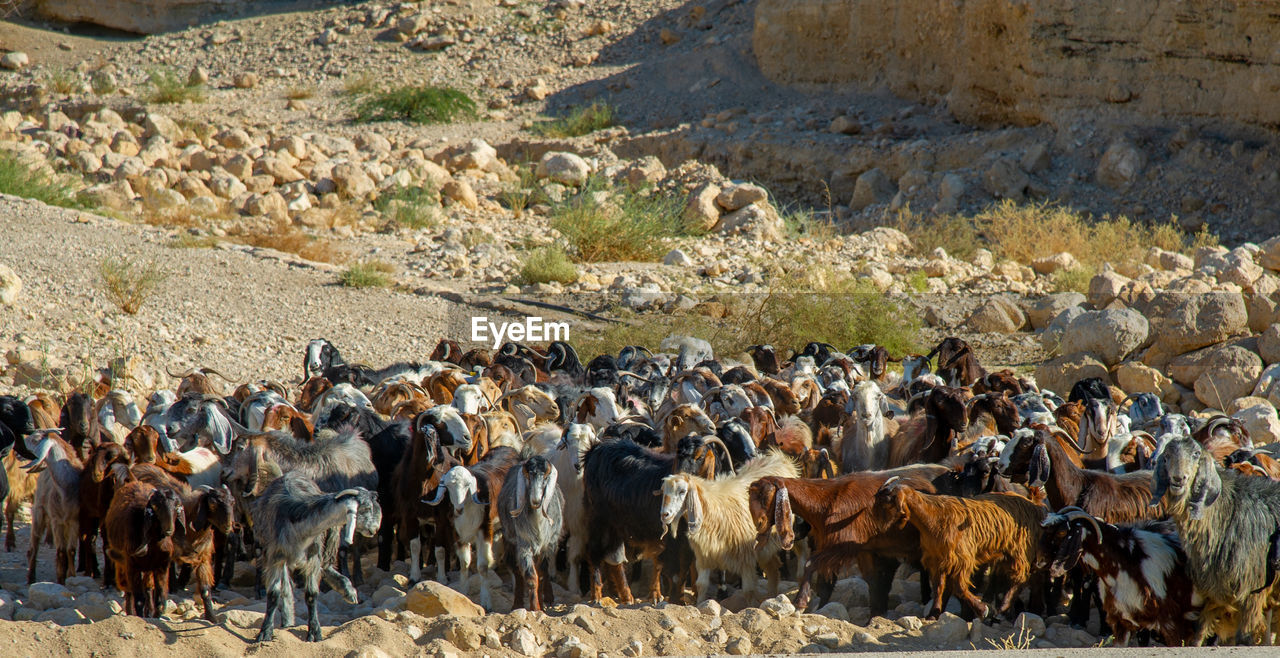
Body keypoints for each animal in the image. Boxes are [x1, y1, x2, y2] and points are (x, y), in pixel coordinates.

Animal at [250, 471, 378, 640]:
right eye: (367, 507)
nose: (374, 529)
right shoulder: (275, 557)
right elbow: (274, 594)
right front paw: (265, 632)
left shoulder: (313, 558)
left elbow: (311, 595)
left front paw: (315, 632)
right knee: (286, 587)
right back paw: (287, 621)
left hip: (331, 536)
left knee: (327, 565)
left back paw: (347, 589)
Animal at [496, 450, 563, 609]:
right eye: (528, 475)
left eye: (545, 477)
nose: (536, 500)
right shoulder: (524, 545)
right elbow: (531, 577)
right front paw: (535, 608)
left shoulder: (546, 546)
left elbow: (542, 574)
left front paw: (542, 605)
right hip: (510, 541)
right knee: (515, 569)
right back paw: (517, 604)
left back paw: (548, 597)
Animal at [660, 450, 798, 599]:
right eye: (664, 492)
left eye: (682, 491)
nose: (664, 514)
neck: (712, 509)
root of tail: (781, 459)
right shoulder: (704, 555)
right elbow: (701, 585)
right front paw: (700, 602)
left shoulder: (746, 557)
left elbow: (748, 590)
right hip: (764, 547)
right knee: (773, 569)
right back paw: (771, 595)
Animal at [875, 473, 1044, 617]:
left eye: (887, 499)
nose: (877, 526)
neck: (933, 518)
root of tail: (1033, 504)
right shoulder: (937, 560)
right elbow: (938, 587)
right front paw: (933, 613)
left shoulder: (960, 559)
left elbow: (959, 588)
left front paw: (982, 609)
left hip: (1020, 549)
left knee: (1021, 577)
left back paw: (1003, 607)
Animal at [1146, 432, 1280, 642]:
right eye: (1166, 456)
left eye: (1195, 454)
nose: (1178, 479)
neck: (1228, 511)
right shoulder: (1215, 591)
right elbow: (1200, 632)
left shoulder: (1253, 590)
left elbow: (1245, 636)